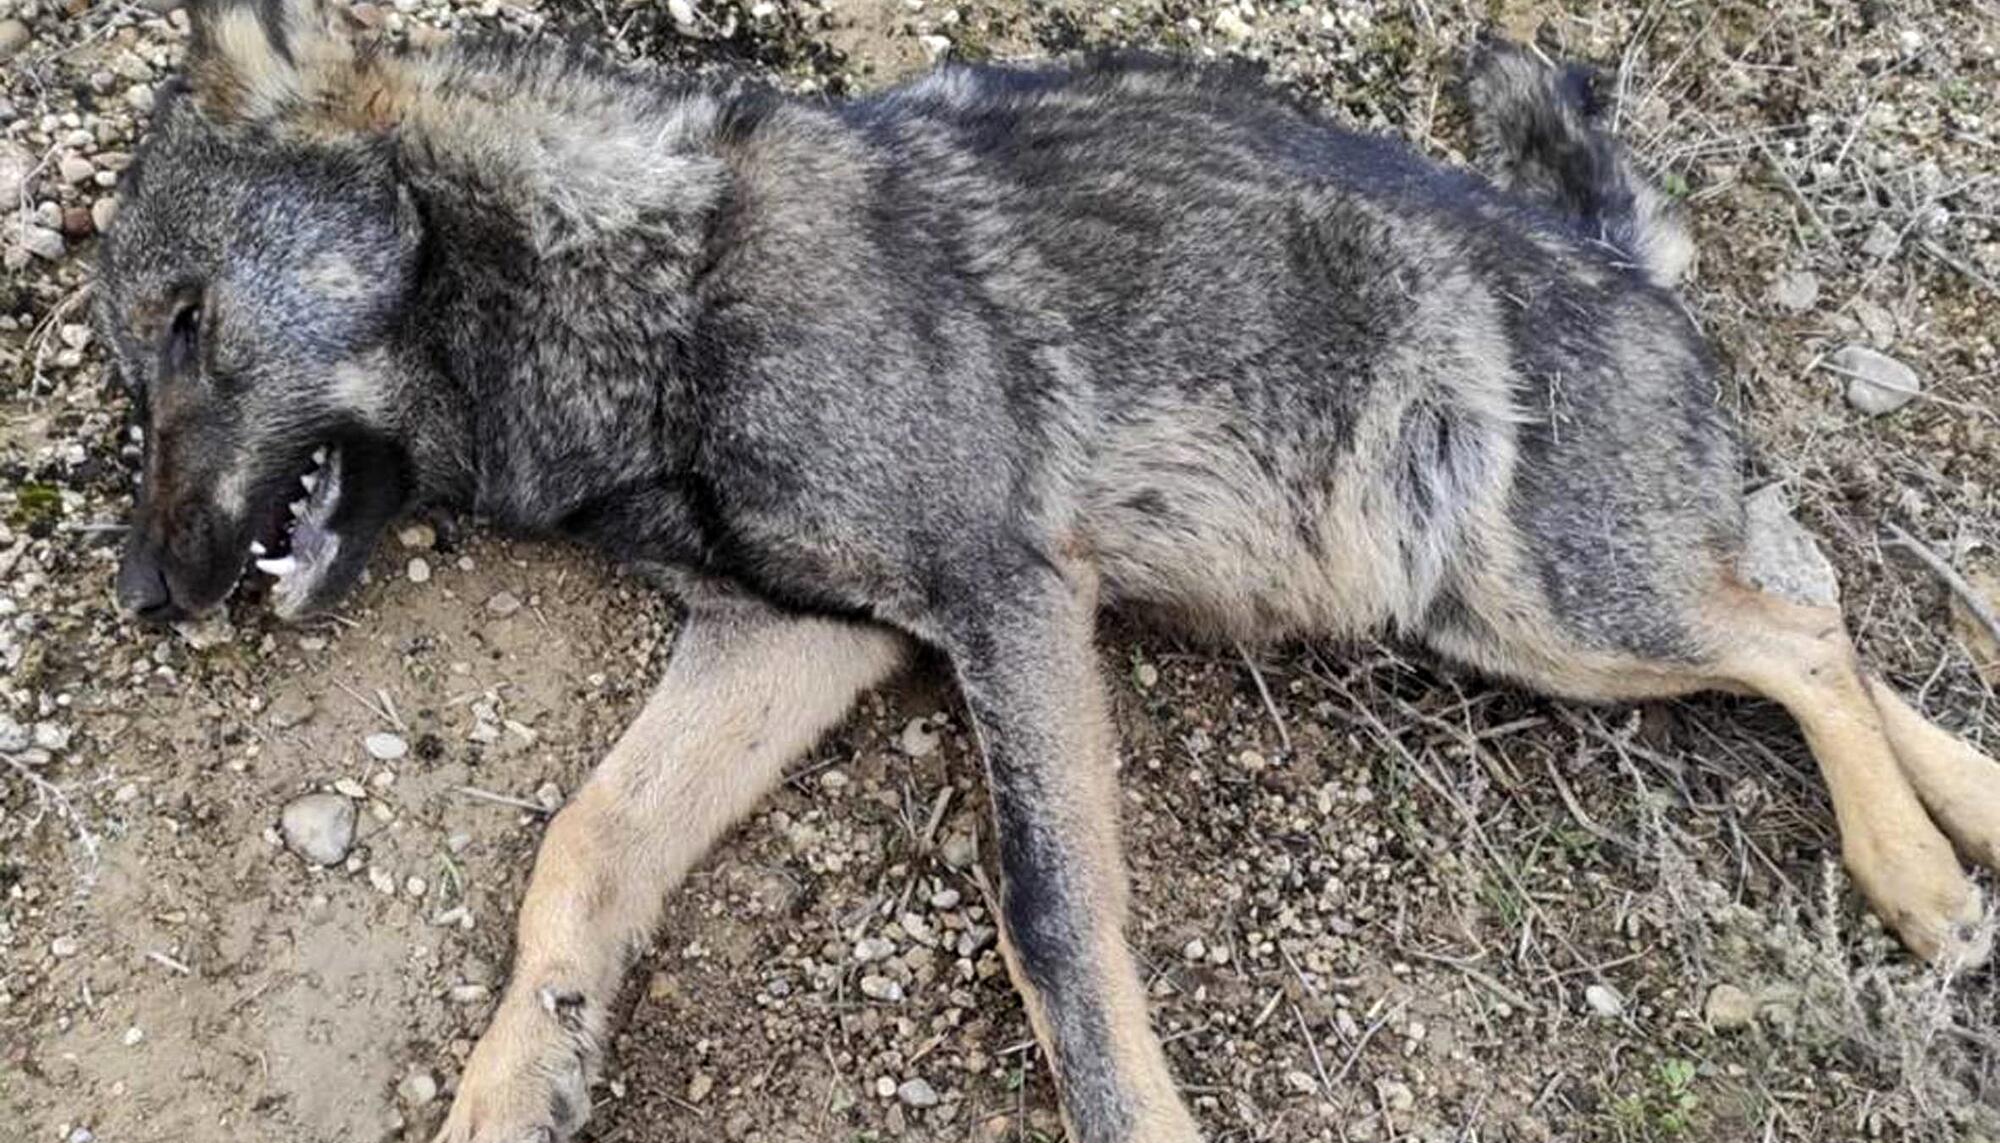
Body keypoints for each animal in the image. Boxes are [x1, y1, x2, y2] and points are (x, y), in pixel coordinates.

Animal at [97, 2, 2000, 1140]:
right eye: (130, 371)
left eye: (188, 327)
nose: (138, 595)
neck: (656, 280)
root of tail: (1617, 258)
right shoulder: (792, 638)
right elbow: (582, 846)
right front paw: (519, 1073)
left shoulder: (1007, 606)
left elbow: (1054, 923)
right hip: (1515, 616)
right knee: (1810, 603)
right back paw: (1970, 813)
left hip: (1551, 606)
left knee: (1799, 629)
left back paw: (1915, 870)